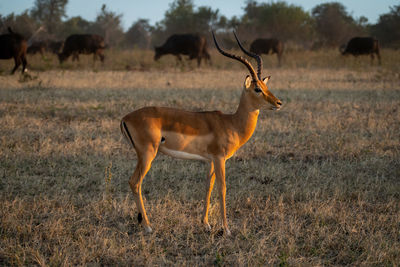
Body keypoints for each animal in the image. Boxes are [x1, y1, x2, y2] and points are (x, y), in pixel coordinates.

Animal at [119, 31, 282, 237]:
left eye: (266, 87)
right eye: (257, 89)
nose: (278, 103)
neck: (232, 123)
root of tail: (125, 117)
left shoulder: (209, 160)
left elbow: (208, 187)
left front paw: (206, 224)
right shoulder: (220, 158)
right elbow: (222, 188)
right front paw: (226, 229)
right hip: (148, 154)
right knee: (135, 182)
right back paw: (148, 226)